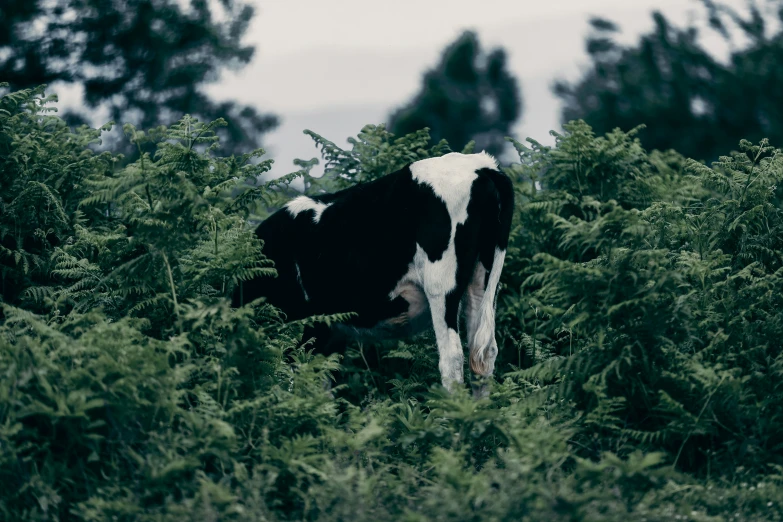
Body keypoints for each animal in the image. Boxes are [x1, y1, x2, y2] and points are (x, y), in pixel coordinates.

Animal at [233, 150, 516, 394]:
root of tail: (482, 166)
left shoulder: (300, 327)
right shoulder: (327, 332)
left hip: (441, 285)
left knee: (452, 358)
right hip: (483, 280)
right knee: (483, 355)